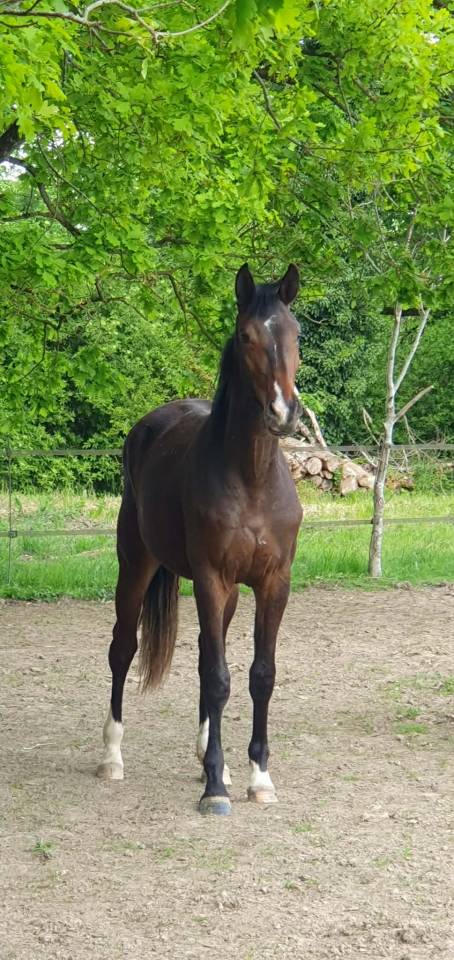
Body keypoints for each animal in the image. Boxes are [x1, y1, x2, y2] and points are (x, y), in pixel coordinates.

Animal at [96, 263, 303, 816]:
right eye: (247, 336)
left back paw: (215, 758)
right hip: (136, 566)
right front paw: (214, 789)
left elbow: (258, 675)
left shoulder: (273, 583)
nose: (283, 412)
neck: (251, 479)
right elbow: (218, 676)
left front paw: (257, 777)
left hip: (226, 594)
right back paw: (112, 757)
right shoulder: (211, 579)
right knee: (123, 649)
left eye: (295, 333)